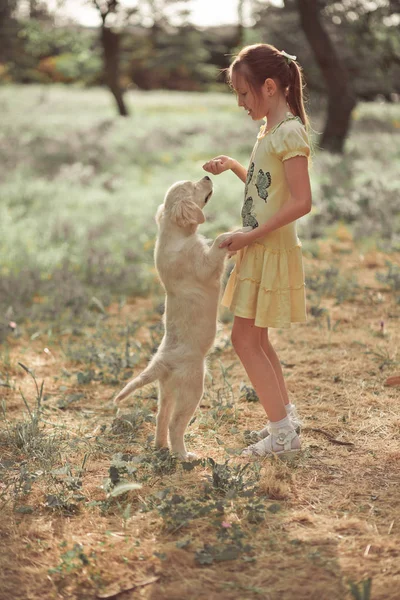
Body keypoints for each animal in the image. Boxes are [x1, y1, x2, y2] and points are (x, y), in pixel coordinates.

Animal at [112, 176, 233, 458]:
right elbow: (218, 243)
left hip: (166, 391)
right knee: (176, 424)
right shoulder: (204, 267)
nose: (208, 176)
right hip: (193, 388)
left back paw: (161, 448)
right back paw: (183, 455)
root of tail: (161, 362)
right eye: (194, 186)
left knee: (161, 417)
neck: (174, 233)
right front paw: (235, 233)